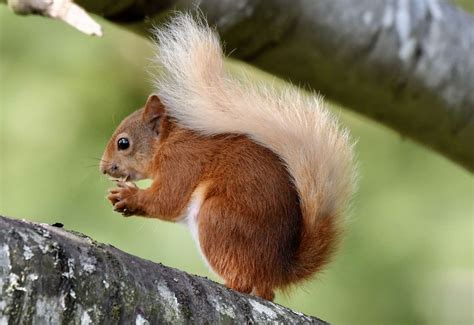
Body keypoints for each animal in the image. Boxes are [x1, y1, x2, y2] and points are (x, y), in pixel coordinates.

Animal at [102, 14, 358, 298]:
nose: (104, 168)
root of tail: (277, 268)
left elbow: (168, 200)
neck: (168, 141)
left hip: (218, 219)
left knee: (244, 282)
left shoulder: (181, 161)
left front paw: (129, 197)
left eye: (123, 143)